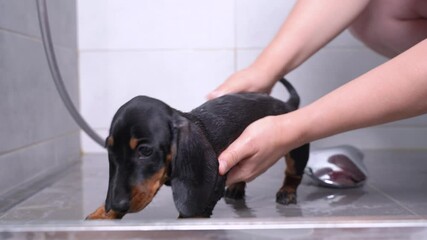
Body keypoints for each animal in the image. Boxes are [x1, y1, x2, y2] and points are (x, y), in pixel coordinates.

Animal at [85, 78, 310, 219]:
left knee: (293, 173)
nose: (116, 205)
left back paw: (287, 191)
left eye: (145, 151)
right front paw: (102, 214)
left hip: (297, 149)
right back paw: (237, 187)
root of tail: (287, 104)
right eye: (110, 151)